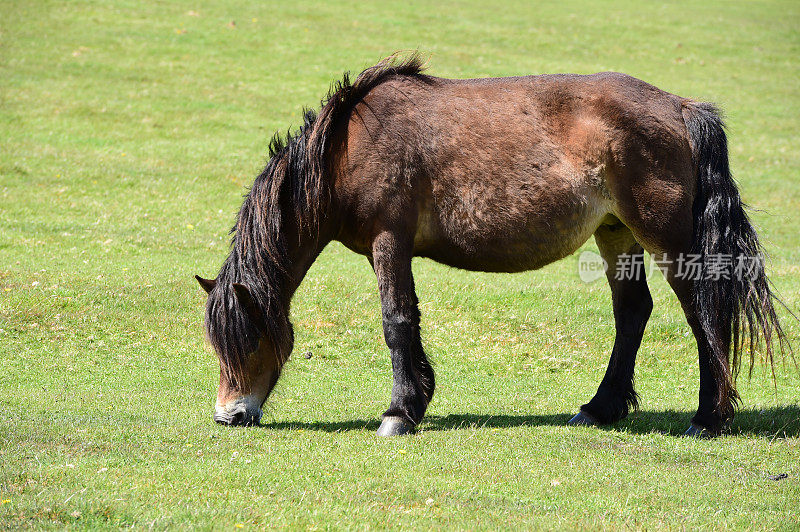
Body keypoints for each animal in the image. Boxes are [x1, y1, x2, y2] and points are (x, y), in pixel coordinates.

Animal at [195, 54, 788, 436]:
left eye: (246, 339)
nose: (230, 415)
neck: (346, 146)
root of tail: (681, 107)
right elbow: (409, 321)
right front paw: (417, 400)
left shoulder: (390, 242)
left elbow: (396, 322)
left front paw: (398, 414)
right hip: (617, 232)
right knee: (633, 313)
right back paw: (600, 408)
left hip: (664, 236)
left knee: (703, 311)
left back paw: (708, 417)